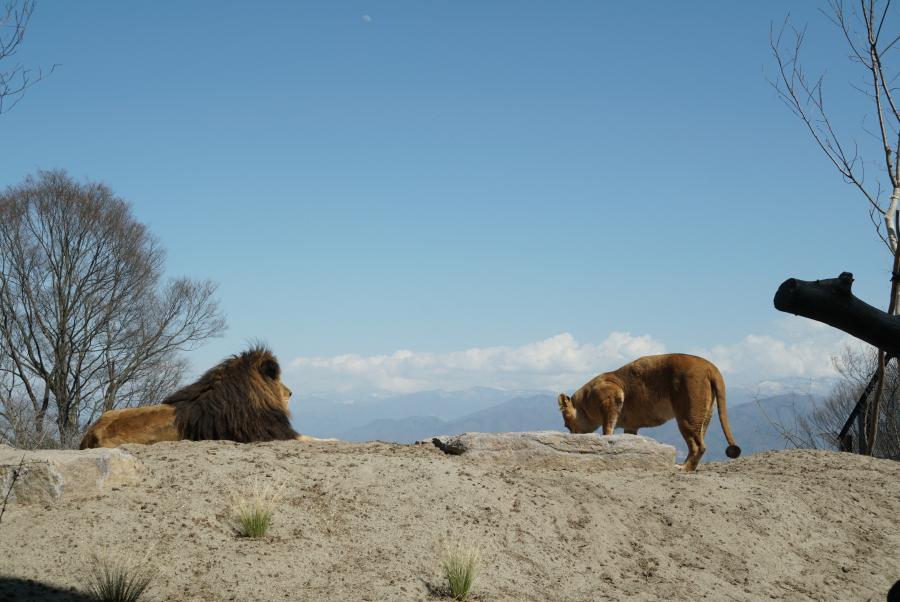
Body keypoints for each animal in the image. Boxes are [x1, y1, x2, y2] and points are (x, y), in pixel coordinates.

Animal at [560, 352, 740, 468]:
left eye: (567, 425)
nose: (571, 436)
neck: (584, 401)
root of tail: (710, 366)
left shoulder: (612, 393)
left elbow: (607, 427)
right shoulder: (630, 426)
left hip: (687, 416)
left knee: (698, 446)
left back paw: (683, 469)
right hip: (704, 417)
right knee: (698, 442)